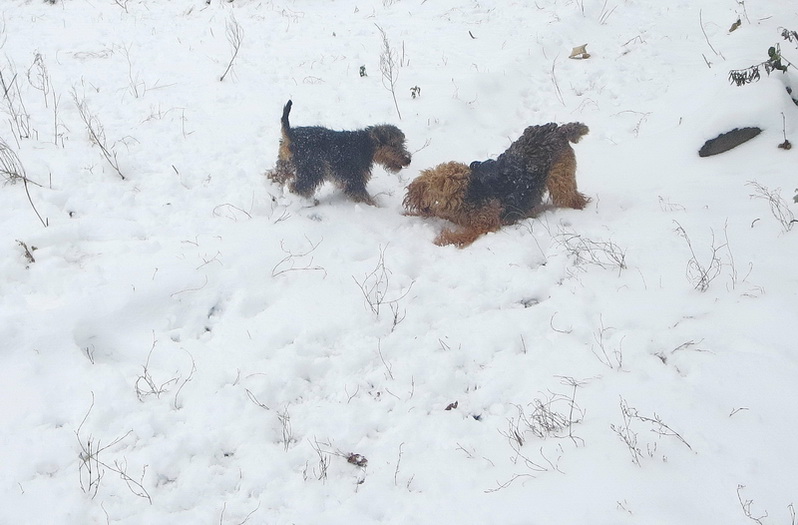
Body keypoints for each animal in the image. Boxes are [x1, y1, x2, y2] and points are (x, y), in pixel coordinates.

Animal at [268, 100, 412, 205]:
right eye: (393, 145)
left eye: (402, 143)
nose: (408, 159)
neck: (365, 146)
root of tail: (291, 134)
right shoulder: (355, 180)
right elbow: (366, 197)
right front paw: (376, 207)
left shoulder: (346, 180)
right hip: (314, 169)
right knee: (297, 187)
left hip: (286, 164)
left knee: (273, 176)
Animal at [404, 122, 589, 247]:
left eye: (433, 186)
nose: (412, 196)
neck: (469, 191)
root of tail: (558, 130)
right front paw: (407, 214)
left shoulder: (483, 225)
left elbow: (460, 236)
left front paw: (441, 239)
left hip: (561, 181)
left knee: (575, 198)